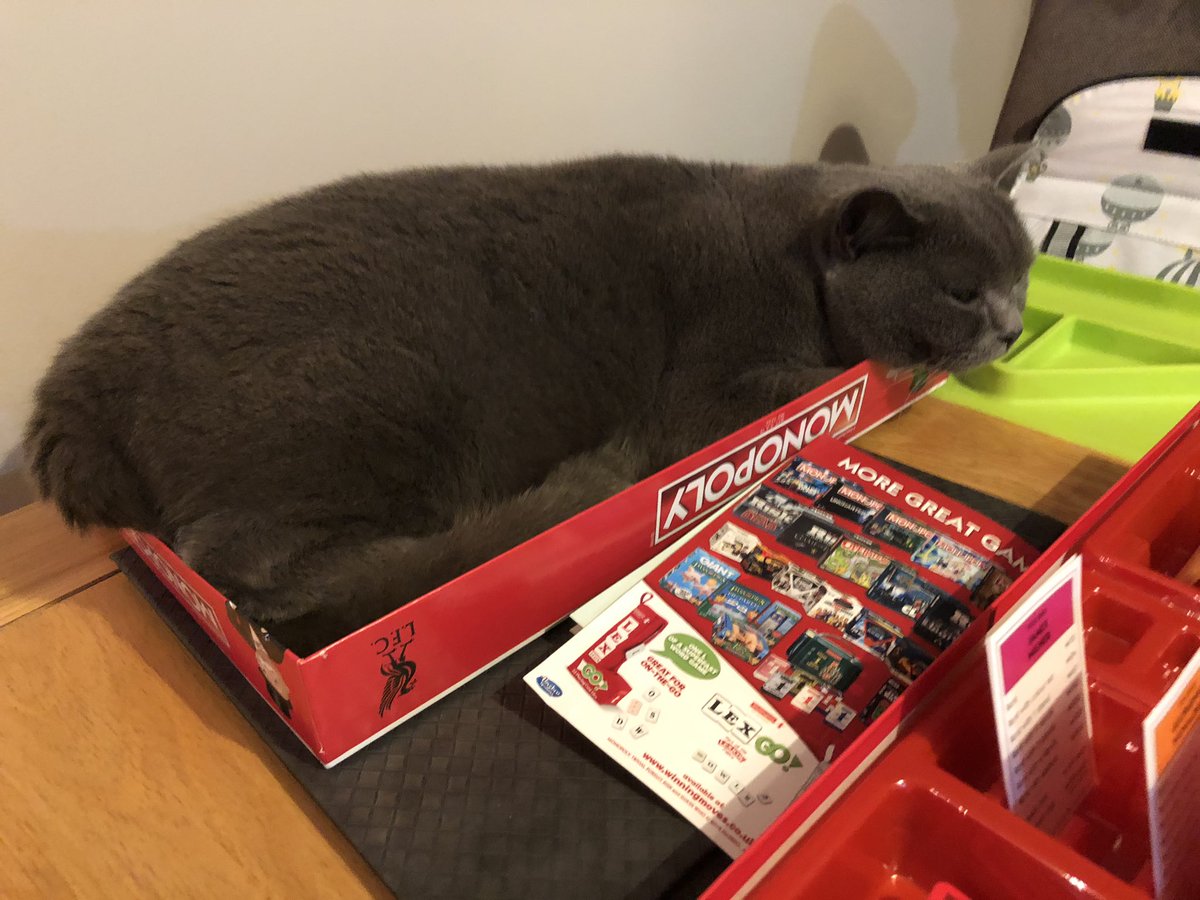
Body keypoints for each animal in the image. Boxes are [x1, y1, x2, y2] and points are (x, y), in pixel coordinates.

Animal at [26, 145, 1034, 654]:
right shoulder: (707, 391)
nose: (1016, 326)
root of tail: (73, 388)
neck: (792, 256)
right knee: (264, 578)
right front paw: (904, 368)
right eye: (961, 292)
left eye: (1024, 272)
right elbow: (821, 381)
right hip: (378, 394)